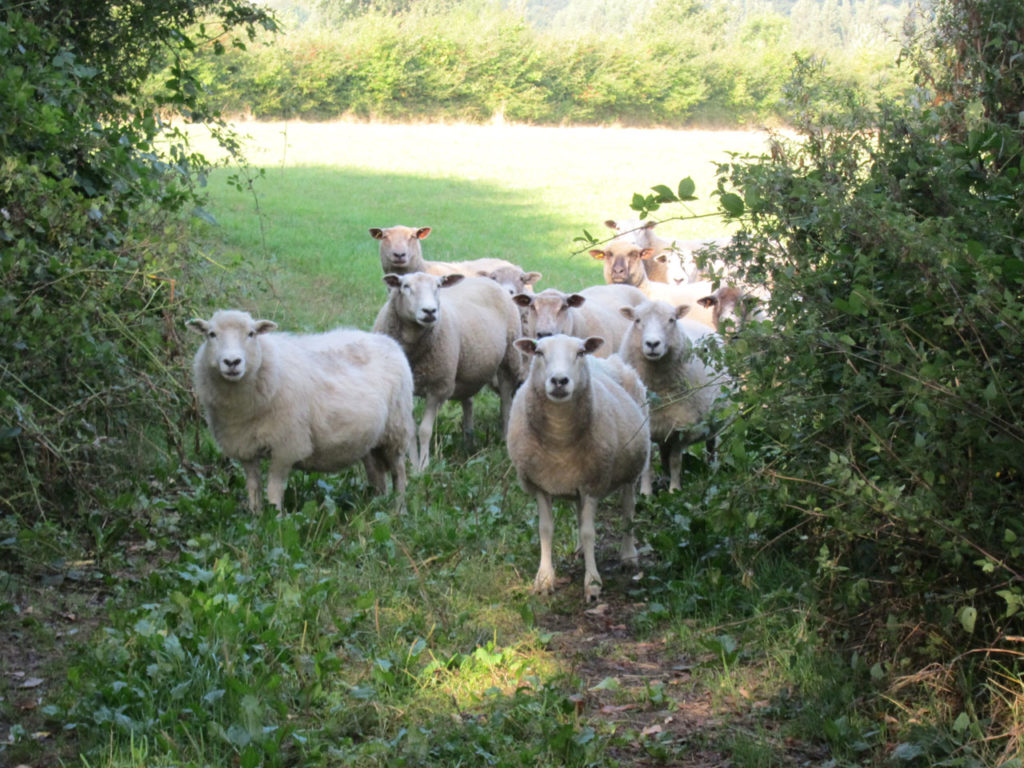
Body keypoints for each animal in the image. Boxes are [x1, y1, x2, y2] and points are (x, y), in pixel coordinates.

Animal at [186, 309, 413, 514]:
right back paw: (375, 505)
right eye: (211, 334)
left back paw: (398, 509)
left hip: (396, 429)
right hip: (370, 439)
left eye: (251, 333)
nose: (232, 362)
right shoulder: (245, 447)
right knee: (376, 473)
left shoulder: (286, 446)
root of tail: (388, 341)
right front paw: (255, 516)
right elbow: (253, 486)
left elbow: (274, 488)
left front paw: (275, 518)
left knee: (399, 473)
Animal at [372, 274, 524, 473]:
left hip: (509, 359)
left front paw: (424, 466)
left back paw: (505, 436)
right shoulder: (407, 390)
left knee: (506, 402)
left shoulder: (438, 387)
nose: (430, 311)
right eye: (405, 286)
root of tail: (485, 279)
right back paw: (468, 441)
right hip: (469, 370)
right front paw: (413, 465)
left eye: (438, 286)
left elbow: (424, 430)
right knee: (468, 402)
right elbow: (411, 430)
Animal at [503, 333, 647, 606]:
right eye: (539, 352)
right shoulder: (540, 484)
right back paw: (580, 550)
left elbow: (590, 532)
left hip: (631, 471)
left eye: (580, 352)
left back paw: (628, 556)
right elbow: (545, 529)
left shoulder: (594, 482)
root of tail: (606, 359)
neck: (559, 440)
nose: (559, 380)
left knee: (628, 513)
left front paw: (592, 584)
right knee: (581, 514)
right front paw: (544, 579)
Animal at [610, 296, 733, 495]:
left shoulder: (682, 427)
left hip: (715, 419)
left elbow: (676, 461)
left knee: (711, 445)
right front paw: (646, 492)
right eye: (637, 320)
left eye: (671, 320)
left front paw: (675, 490)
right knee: (663, 453)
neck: (658, 391)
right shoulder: (649, 425)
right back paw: (664, 478)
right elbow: (649, 464)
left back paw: (712, 471)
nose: (652, 344)